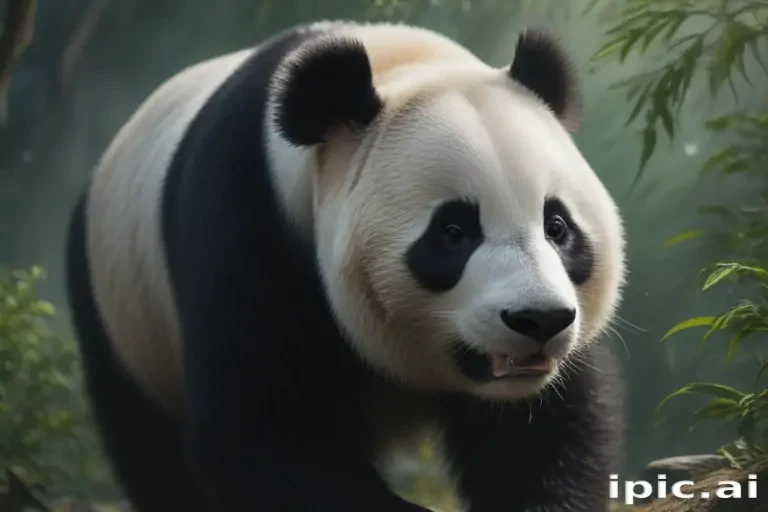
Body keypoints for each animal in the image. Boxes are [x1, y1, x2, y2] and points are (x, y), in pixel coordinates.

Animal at [64, 19, 627, 512]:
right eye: (453, 233)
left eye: (557, 227)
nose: (538, 320)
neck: (398, 66)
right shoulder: (242, 220)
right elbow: (263, 431)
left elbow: (543, 438)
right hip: (120, 315)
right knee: (150, 450)